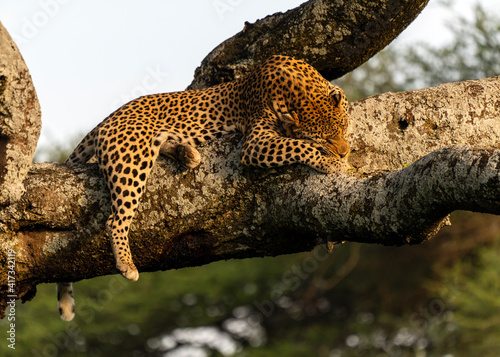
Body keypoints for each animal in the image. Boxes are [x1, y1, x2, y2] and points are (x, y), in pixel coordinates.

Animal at [56, 55, 350, 320]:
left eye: (344, 127)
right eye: (324, 138)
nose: (345, 151)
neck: (298, 87)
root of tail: (107, 119)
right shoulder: (255, 143)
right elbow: (298, 145)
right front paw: (332, 162)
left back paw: (186, 152)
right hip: (131, 160)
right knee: (115, 219)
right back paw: (127, 264)